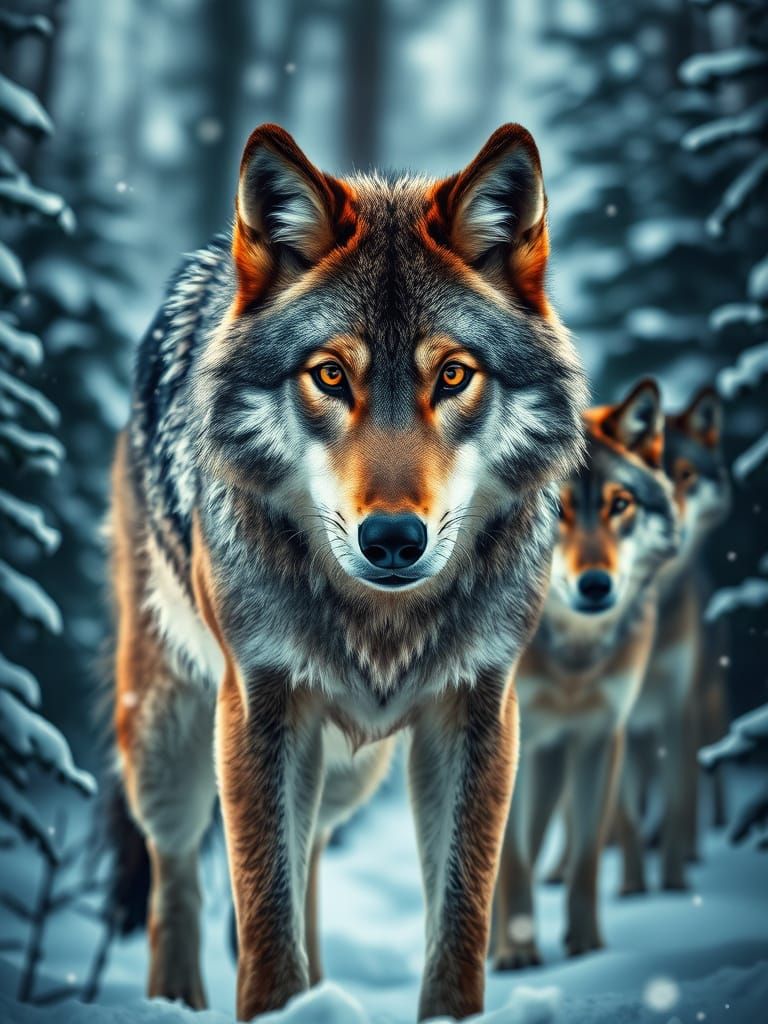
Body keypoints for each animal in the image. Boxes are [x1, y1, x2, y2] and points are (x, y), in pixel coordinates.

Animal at [109, 123, 587, 1020]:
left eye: (453, 374)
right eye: (331, 375)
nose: (393, 539)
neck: (381, 624)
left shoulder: (478, 709)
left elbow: (459, 919)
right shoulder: (256, 705)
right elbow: (263, 916)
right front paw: (272, 1003)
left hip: (351, 773)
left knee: (310, 859)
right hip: (171, 735)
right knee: (177, 873)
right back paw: (176, 999)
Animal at [493, 380, 678, 969]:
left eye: (620, 505)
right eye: (558, 509)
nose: (596, 586)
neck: (571, 657)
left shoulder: (600, 736)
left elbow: (586, 858)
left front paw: (587, 950)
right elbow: (513, 860)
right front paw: (515, 955)